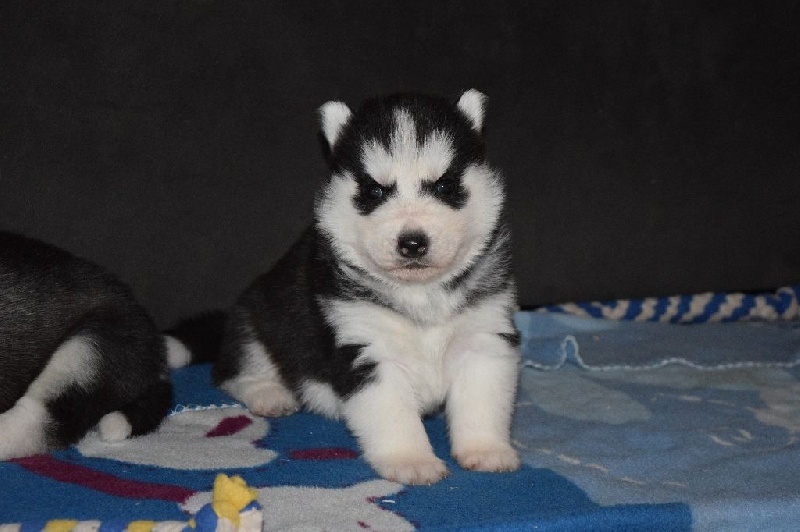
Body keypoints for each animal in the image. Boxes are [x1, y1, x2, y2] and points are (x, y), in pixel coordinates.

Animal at [168, 90, 521, 484]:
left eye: (444, 185)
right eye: (374, 190)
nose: (412, 243)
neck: (418, 293)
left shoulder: (484, 335)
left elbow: (482, 399)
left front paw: (485, 449)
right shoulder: (364, 348)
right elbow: (392, 412)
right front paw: (410, 459)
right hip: (258, 317)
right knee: (234, 369)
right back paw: (268, 393)